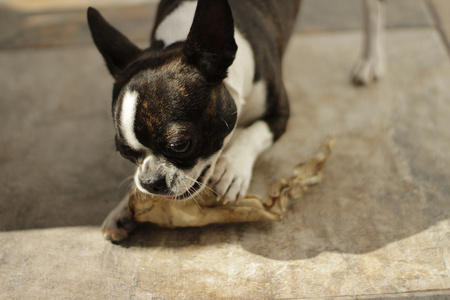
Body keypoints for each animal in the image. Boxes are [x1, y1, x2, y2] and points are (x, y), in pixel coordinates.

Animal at [87, 0, 384, 241]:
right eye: (125, 153)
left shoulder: (279, 112)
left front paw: (233, 168)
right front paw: (123, 209)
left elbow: (253, 133)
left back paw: (370, 60)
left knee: (373, 10)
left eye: (180, 145)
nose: (151, 182)